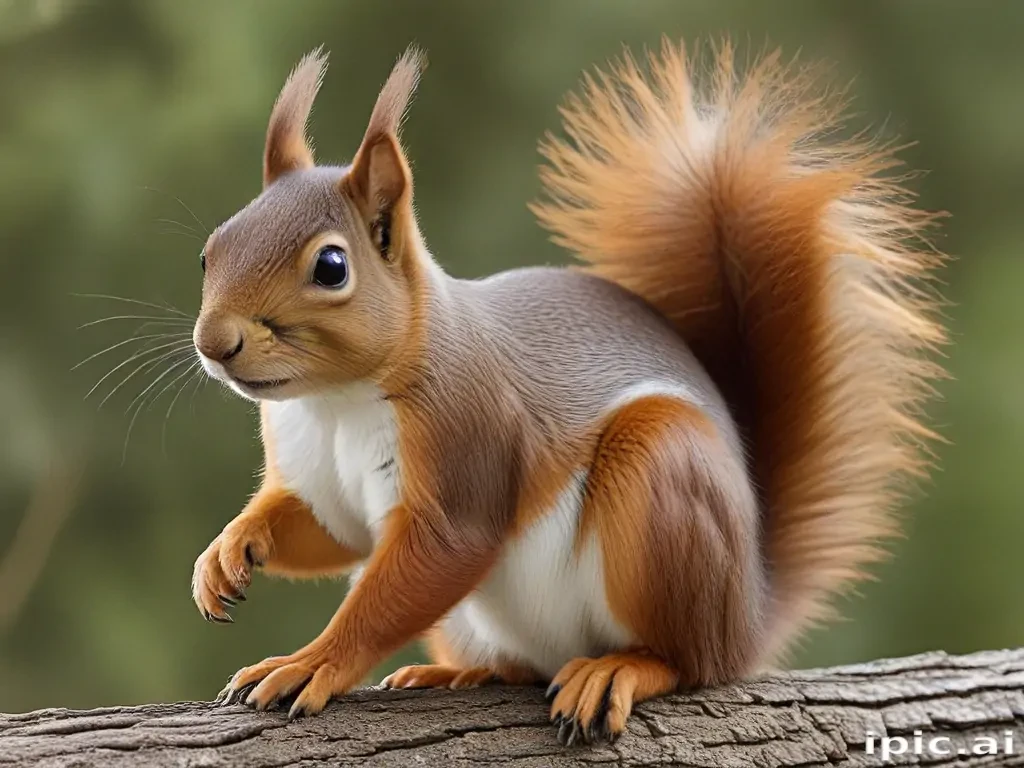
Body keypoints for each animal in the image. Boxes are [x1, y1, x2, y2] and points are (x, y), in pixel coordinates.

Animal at [189, 40, 946, 744]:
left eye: (331, 266)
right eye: (210, 249)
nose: (214, 341)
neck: (333, 403)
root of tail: (749, 615)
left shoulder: (468, 436)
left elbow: (431, 561)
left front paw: (312, 663)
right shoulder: (319, 475)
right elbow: (327, 532)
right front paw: (228, 551)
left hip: (662, 482)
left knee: (689, 661)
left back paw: (623, 668)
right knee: (523, 662)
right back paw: (464, 671)